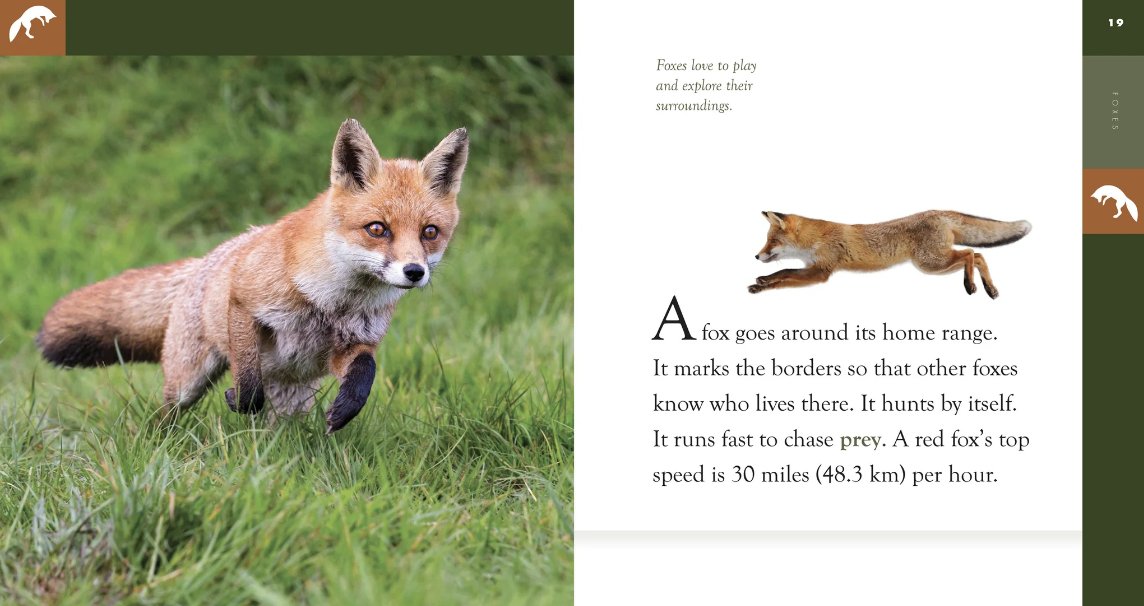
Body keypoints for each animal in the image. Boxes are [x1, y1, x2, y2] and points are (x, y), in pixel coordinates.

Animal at [37, 119, 469, 433]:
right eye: (377, 229)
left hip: (295, 395)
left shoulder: (352, 345)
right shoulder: (245, 301)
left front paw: (346, 409)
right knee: (168, 413)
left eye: (429, 232)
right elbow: (246, 382)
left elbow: (365, 374)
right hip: (186, 382)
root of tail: (203, 261)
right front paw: (239, 399)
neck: (333, 302)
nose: (414, 272)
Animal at [749, 211, 1031, 298]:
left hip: (930, 263)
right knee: (978, 255)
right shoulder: (813, 266)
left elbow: (784, 275)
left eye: (772, 241)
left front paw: (764, 285)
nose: (756, 256)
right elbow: (784, 271)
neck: (816, 238)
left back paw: (971, 285)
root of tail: (935, 212)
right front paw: (761, 282)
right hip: (933, 263)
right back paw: (988, 288)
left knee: (972, 253)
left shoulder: (821, 272)